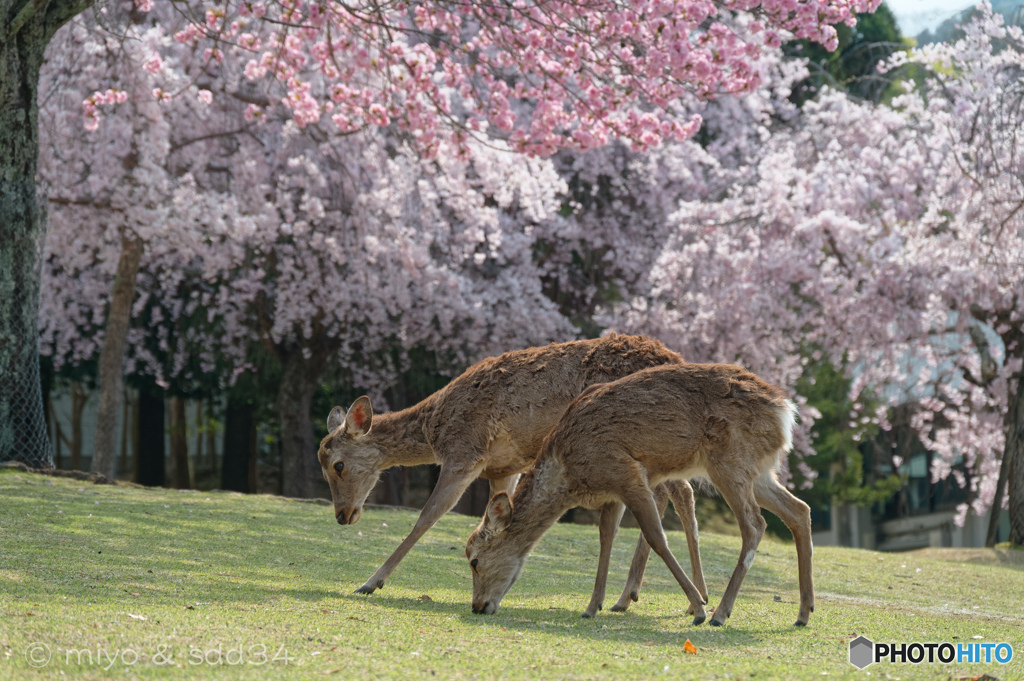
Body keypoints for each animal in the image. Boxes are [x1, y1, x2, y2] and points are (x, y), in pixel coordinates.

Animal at [315, 331, 708, 606]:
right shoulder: (502, 468)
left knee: (674, 492)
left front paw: (370, 582)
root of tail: (674, 355)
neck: (435, 427)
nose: (342, 515)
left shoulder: (465, 452)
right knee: (681, 492)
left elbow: (428, 516)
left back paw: (658, 597)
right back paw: (665, 597)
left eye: (338, 465)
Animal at [466, 360, 815, 626]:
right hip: (759, 471)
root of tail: (786, 411)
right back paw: (803, 612)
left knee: (755, 525)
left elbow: (656, 537)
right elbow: (606, 539)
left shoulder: (628, 474)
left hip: (730, 463)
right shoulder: (611, 493)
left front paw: (698, 608)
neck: (568, 471)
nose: (477, 606)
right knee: (800, 510)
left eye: (474, 560)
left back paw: (720, 613)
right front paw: (592, 607)